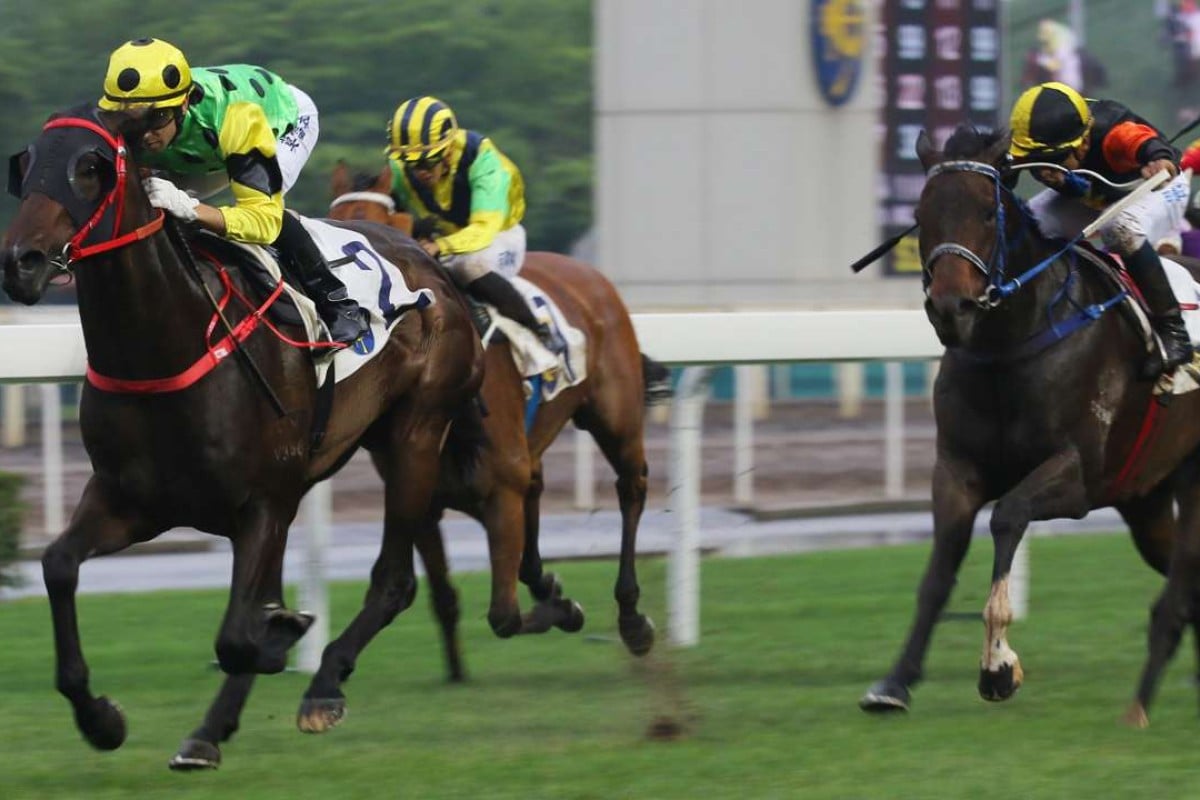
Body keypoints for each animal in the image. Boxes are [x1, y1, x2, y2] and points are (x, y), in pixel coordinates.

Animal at [5, 103, 482, 767]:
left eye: (89, 169)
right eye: (24, 165)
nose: (19, 262)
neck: (166, 348)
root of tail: (431, 264)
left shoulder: (263, 503)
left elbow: (237, 634)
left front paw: (283, 637)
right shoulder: (131, 501)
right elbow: (57, 566)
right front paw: (101, 719)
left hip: (415, 434)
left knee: (393, 581)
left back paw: (322, 686)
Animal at [324, 160, 662, 695]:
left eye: (373, 248)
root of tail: (589, 272)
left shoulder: (500, 489)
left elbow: (503, 614)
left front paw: (564, 608)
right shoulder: (422, 503)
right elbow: (444, 596)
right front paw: (458, 669)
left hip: (615, 418)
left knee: (631, 488)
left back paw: (632, 618)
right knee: (539, 496)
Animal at [859, 126, 1200, 724]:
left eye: (985, 211)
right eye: (922, 215)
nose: (951, 307)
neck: (1009, 345)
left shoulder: (1075, 474)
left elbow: (1007, 516)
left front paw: (998, 666)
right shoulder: (956, 470)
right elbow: (937, 575)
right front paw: (896, 682)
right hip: (1147, 499)